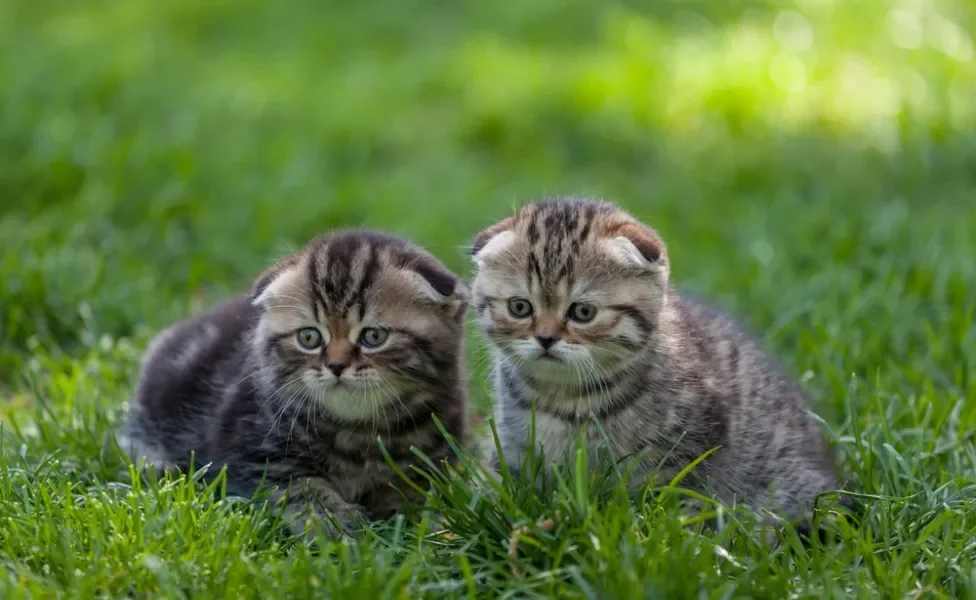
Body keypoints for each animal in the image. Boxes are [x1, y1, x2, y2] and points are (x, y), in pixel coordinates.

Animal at [120, 230, 470, 540]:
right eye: (309, 337)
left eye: (373, 336)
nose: (336, 366)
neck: (357, 432)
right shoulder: (252, 454)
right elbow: (301, 488)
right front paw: (337, 526)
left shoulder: (436, 453)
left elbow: (416, 491)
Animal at [470, 198, 848, 528]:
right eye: (520, 307)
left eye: (583, 311)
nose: (546, 338)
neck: (562, 396)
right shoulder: (514, 443)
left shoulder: (688, 451)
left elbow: (675, 505)